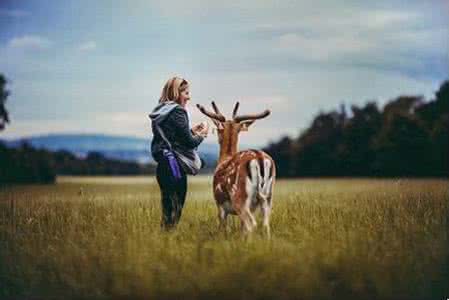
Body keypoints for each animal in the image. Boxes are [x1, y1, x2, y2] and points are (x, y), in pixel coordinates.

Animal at [197, 102, 276, 238]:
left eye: (218, 129)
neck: (224, 159)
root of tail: (259, 158)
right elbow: (241, 228)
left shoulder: (219, 204)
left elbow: (223, 226)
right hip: (267, 196)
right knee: (265, 224)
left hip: (239, 196)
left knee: (251, 225)